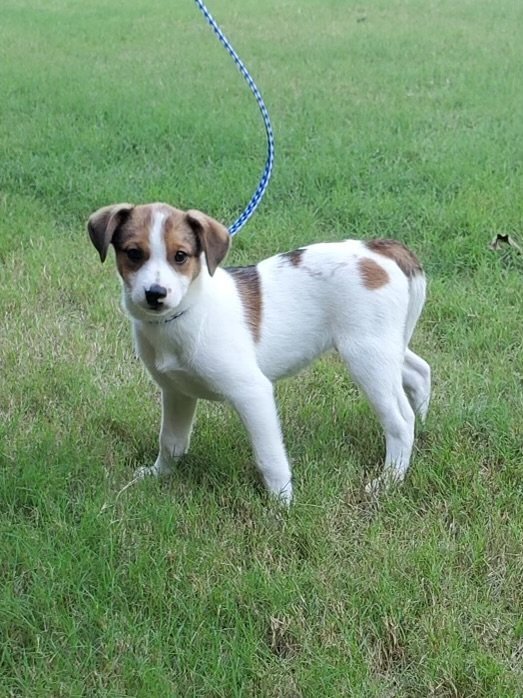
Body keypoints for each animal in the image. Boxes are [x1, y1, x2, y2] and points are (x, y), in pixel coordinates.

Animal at [88, 202, 430, 502]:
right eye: (134, 254)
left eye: (180, 256)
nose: (155, 294)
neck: (187, 313)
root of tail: (380, 249)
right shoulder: (176, 392)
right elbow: (172, 441)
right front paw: (159, 474)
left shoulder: (252, 392)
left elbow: (270, 456)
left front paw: (282, 504)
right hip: (384, 345)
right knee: (419, 371)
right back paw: (424, 423)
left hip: (366, 355)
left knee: (400, 421)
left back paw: (389, 480)